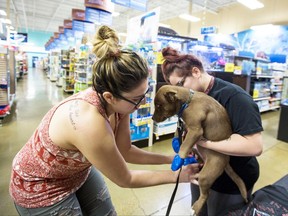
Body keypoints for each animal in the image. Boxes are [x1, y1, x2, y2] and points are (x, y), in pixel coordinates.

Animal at [152, 85, 249, 215]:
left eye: (158, 105)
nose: (152, 118)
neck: (187, 101)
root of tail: (226, 161)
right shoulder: (185, 126)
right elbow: (177, 133)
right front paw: (176, 143)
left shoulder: (195, 130)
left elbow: (184, 146)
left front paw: (178, 160)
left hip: (205, 176)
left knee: (206, 194)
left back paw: (195, 208)